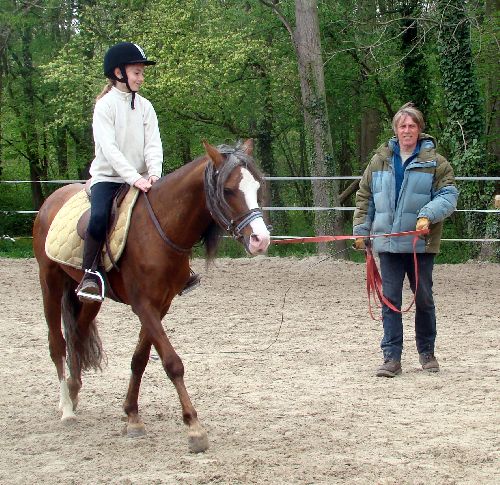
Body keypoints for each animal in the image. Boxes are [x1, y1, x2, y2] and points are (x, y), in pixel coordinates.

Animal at [31, 141, 270, 454]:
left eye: (257, 186)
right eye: (228, 190)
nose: (260, 240)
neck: (160, 230)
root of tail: (52, 200)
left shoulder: (161, 304)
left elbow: (140, 360)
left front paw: (132, 416)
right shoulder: (143, 305)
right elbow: (172, 363)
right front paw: (194, 428)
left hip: (88, 298)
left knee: (77, 335)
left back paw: (73, 390)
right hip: (49, 281)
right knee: (57, 343)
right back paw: (66, 408)